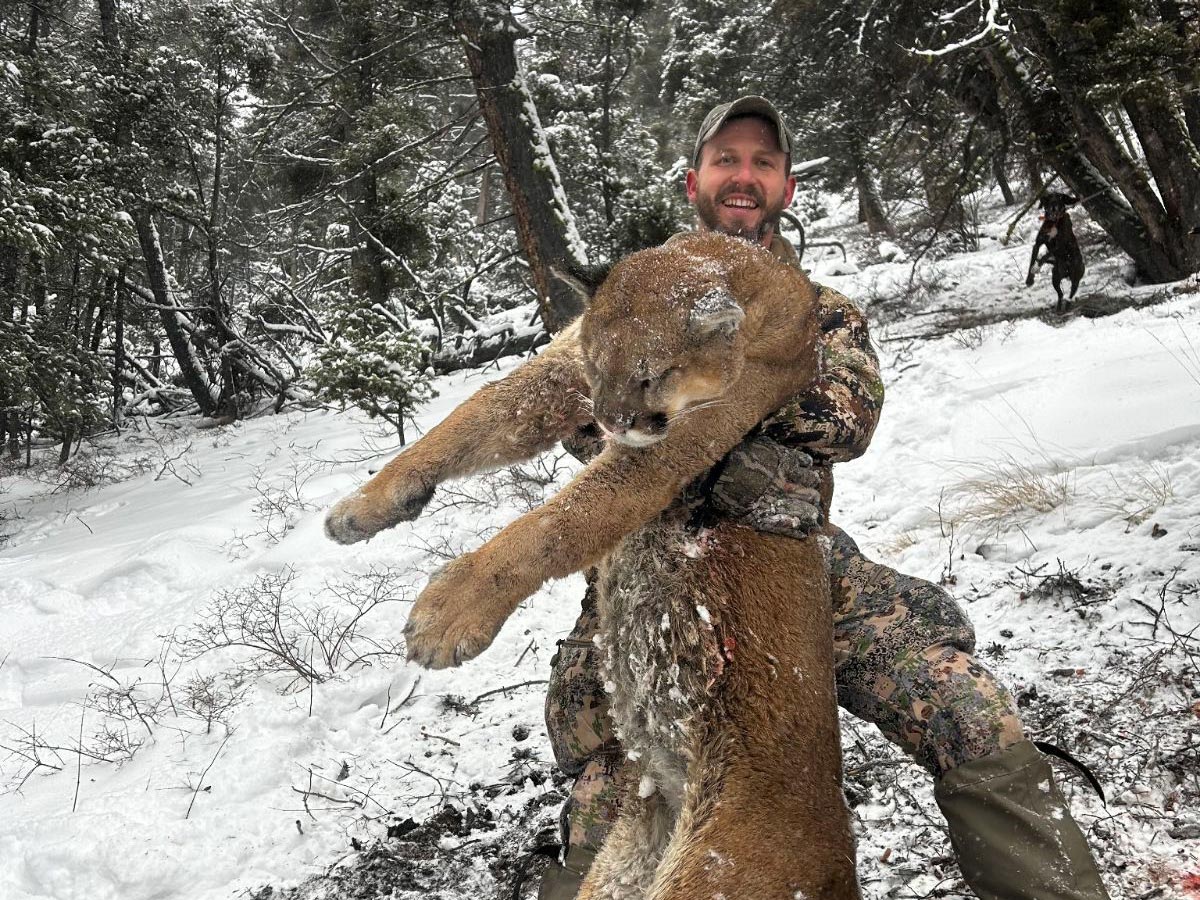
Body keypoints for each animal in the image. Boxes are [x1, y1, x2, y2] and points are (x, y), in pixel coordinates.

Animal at [326, 231, 860, 899]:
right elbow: (469, 420)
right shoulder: (556, 370)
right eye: (597, 366)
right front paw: (360, 508)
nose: (608, 419)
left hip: (717, 868)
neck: (724, 254)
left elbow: (563, 519)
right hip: (621, 863)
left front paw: (448, 613)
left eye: (651, 375)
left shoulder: (674, 442)